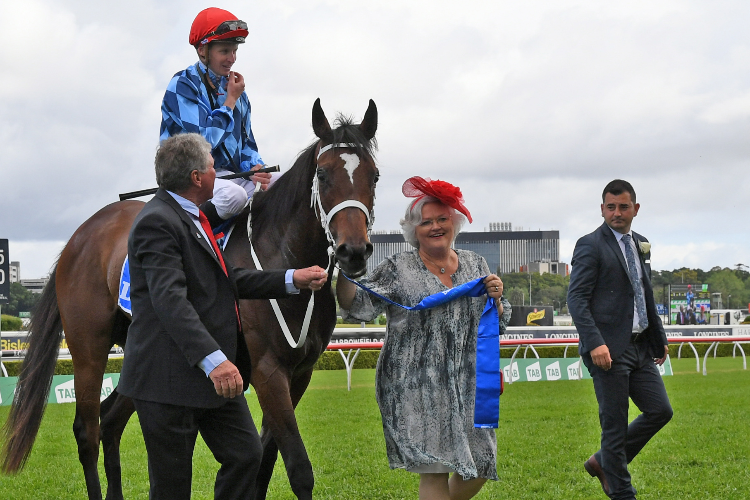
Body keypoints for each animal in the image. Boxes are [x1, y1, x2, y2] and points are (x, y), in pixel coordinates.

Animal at [0, 98, 376, 500]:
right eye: (323, 173)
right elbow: (299, 468)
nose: (354, 251)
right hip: (89, 347)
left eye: (374, 176)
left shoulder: (300, 373)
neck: (280, 250)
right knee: (87, 430)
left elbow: (264, 462)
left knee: (110, 421)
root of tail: (80, 235)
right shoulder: (268, 370)